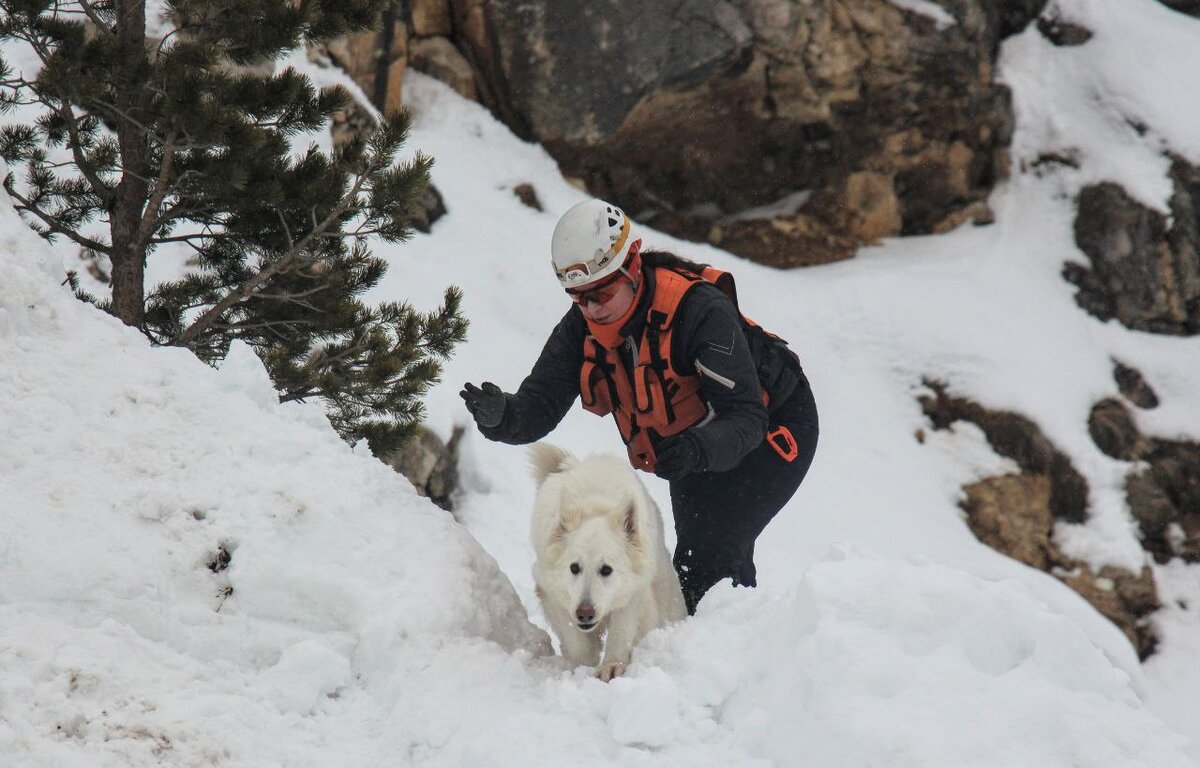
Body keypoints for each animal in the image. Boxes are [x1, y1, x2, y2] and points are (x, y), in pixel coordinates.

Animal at [532, 441, 691, 681]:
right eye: (574, 568)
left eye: (606, 570)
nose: (585, 613)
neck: (594, 507)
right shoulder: (551, 591)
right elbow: (577, 643)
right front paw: (584, 664)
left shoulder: (633, 592)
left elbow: (621, 632)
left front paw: (612, 666)